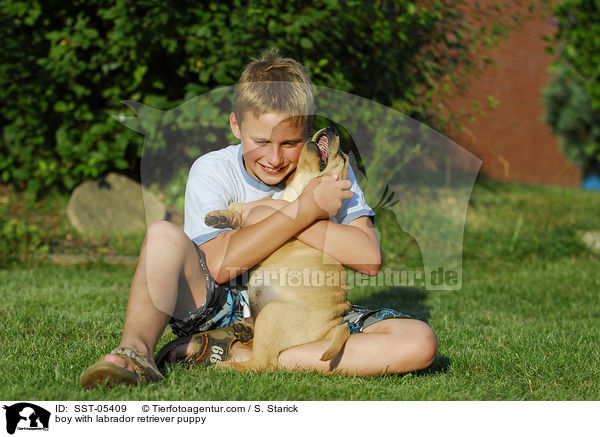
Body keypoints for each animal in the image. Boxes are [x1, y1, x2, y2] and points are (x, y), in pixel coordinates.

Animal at [204, 127, 350, 372]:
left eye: (343, 157)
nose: (333, 128)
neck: (298, 190)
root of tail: (334, 325)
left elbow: (259, 208)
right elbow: (240, 206)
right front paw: (220, 216)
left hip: (272, 314)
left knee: (263, 363)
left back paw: (225, 367)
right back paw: (245, 330)